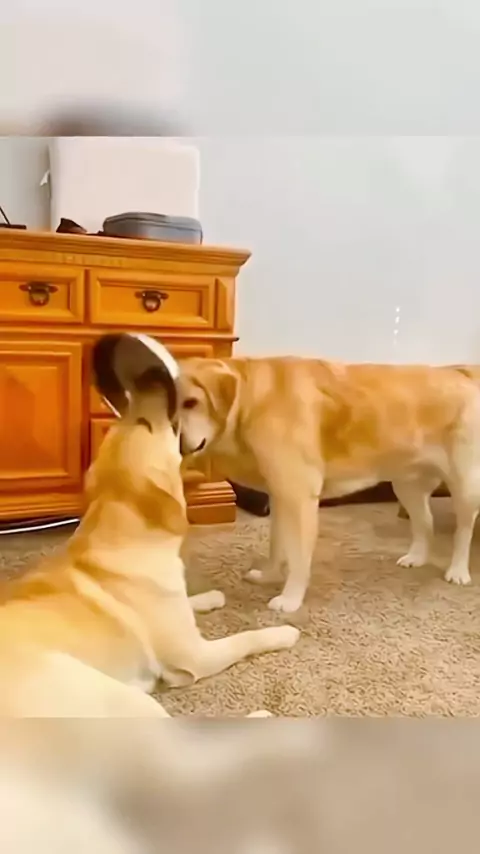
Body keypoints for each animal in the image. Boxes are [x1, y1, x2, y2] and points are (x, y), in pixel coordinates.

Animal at [0, 362, 299, 718]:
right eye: (144, 422)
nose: (148, 378)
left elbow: (190, 601)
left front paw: (211, 597)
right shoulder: (196, 656)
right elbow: (248, 638)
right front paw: (282, 632)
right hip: (120, 698)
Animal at [177, 356, 480, 612]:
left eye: (191, 403)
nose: (175, 443)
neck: (251, 399)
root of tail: (462, 373)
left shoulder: (299, 498)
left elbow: (298, 558)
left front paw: (290, 599)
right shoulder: (280, 496)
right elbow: (277, 545)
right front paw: (269, 575)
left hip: (465, 487)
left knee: (463, 530)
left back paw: (457, 571)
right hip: (407, 485)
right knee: (425, 522)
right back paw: (416, 557)